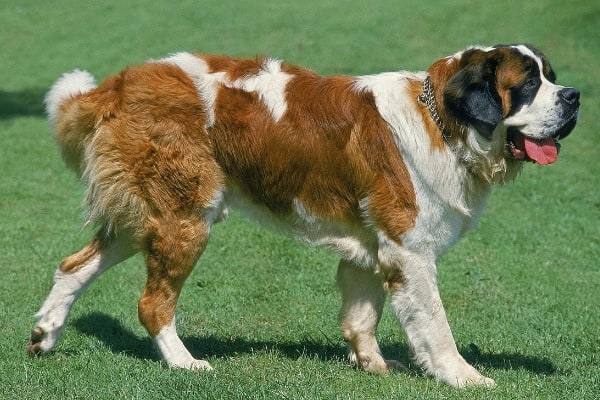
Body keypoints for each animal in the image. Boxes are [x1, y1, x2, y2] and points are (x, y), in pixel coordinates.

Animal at [29, 44, 580, 388]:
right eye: (528, 84)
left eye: (551, 78)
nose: (574, 95)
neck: (444, 119)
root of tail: (121, 82)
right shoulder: (410, 249)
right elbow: (435, 323)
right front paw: (463, 376)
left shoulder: (372, 246)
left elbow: (361, 314)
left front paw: (373, 365)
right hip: (184, 218)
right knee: (152, 303)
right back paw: (185, 363)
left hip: (146, 216)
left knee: (73, 266)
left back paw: (44, 335)